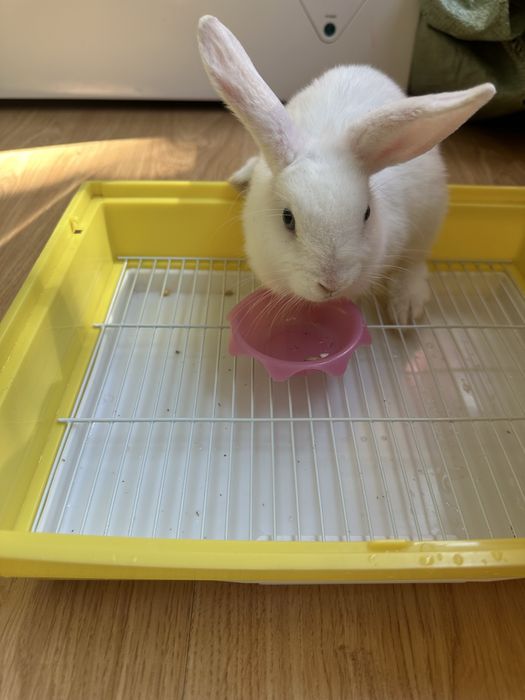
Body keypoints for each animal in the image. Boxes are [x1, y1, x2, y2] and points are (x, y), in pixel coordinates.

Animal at [197, 15, 495, 323]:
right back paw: (239, 177)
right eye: (287, 219)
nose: (332, 284)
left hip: (430, 216)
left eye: (367, 214)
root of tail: (365, 69)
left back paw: (406, 308)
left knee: (415, 261)